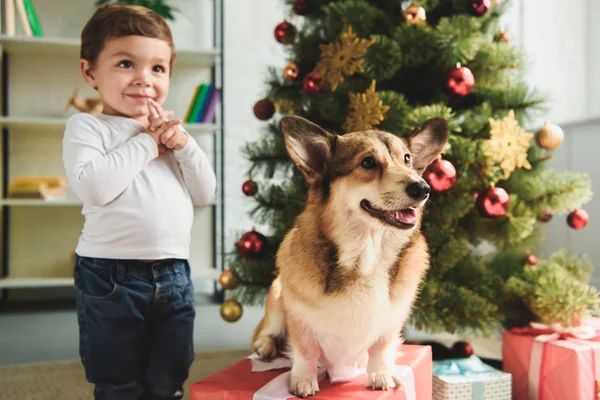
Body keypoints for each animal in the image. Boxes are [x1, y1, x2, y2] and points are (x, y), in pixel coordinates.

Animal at [251, 114, 448, 398]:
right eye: (367, 162)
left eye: (407, 159)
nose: (423, 188)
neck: (365, 256)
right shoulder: (299, 317)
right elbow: (305, 352)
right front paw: (303, 381)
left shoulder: (391, 322)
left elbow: (380, 351)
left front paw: (381, 375)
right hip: (277, 295)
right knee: (264, 332)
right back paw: (265, 348)